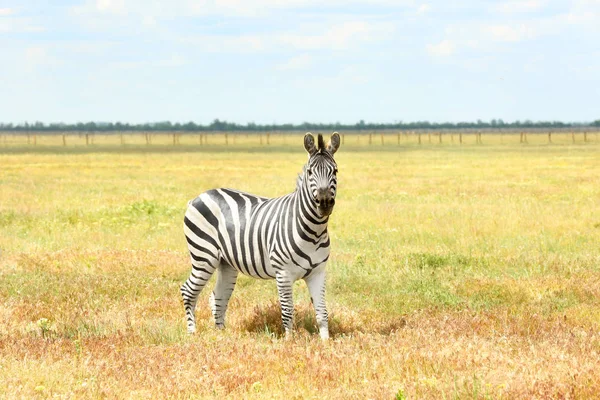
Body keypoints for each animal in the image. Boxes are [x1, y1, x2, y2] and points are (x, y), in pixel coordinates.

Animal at [180, 133, 340, 340]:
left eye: (335, 171)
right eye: (310, 172)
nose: (325, 202)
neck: (314, 230)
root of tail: (199, 196)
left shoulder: (318, 272)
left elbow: (322, 311)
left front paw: (325, 342)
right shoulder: (283, 273)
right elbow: (287, 311)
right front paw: (289, 341)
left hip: (226, 262)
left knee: (218, 297)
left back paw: (222, 336)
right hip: (204, 256)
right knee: (188, 291)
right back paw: (192, 332)